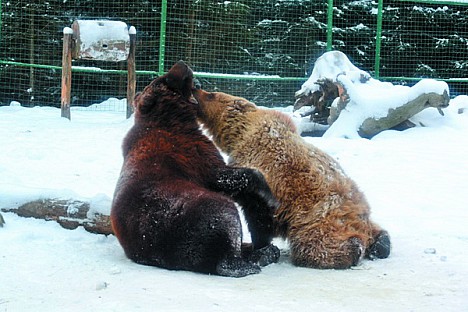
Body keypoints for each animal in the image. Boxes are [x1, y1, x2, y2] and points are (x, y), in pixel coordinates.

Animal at [109, 61, 278, 278]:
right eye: (166, 78)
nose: (182, 64)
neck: (169, 119)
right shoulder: (198, 158)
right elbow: (230, 176)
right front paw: (268, 194)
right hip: (207, 211)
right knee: (227, 244)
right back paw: (260, 254)